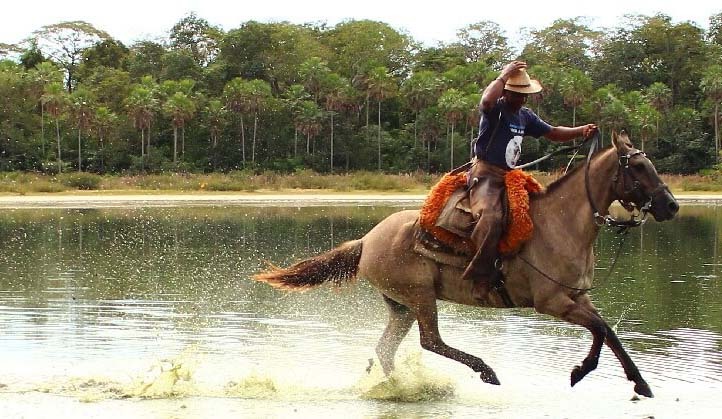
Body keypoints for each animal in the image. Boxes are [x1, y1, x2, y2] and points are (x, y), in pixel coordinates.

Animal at [253, 132, 676, 400]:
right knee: (430, 341)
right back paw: (484, 371)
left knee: (386, 349)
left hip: (400, 306)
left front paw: (641, 384)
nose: (671, 205)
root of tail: (367, 241)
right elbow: (601, 330)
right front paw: (580, 372)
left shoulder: (578, 298)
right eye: (639, 167)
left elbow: (609, 332)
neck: (561, 223)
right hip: (420, 297)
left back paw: (399, 387)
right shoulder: (553, 303)